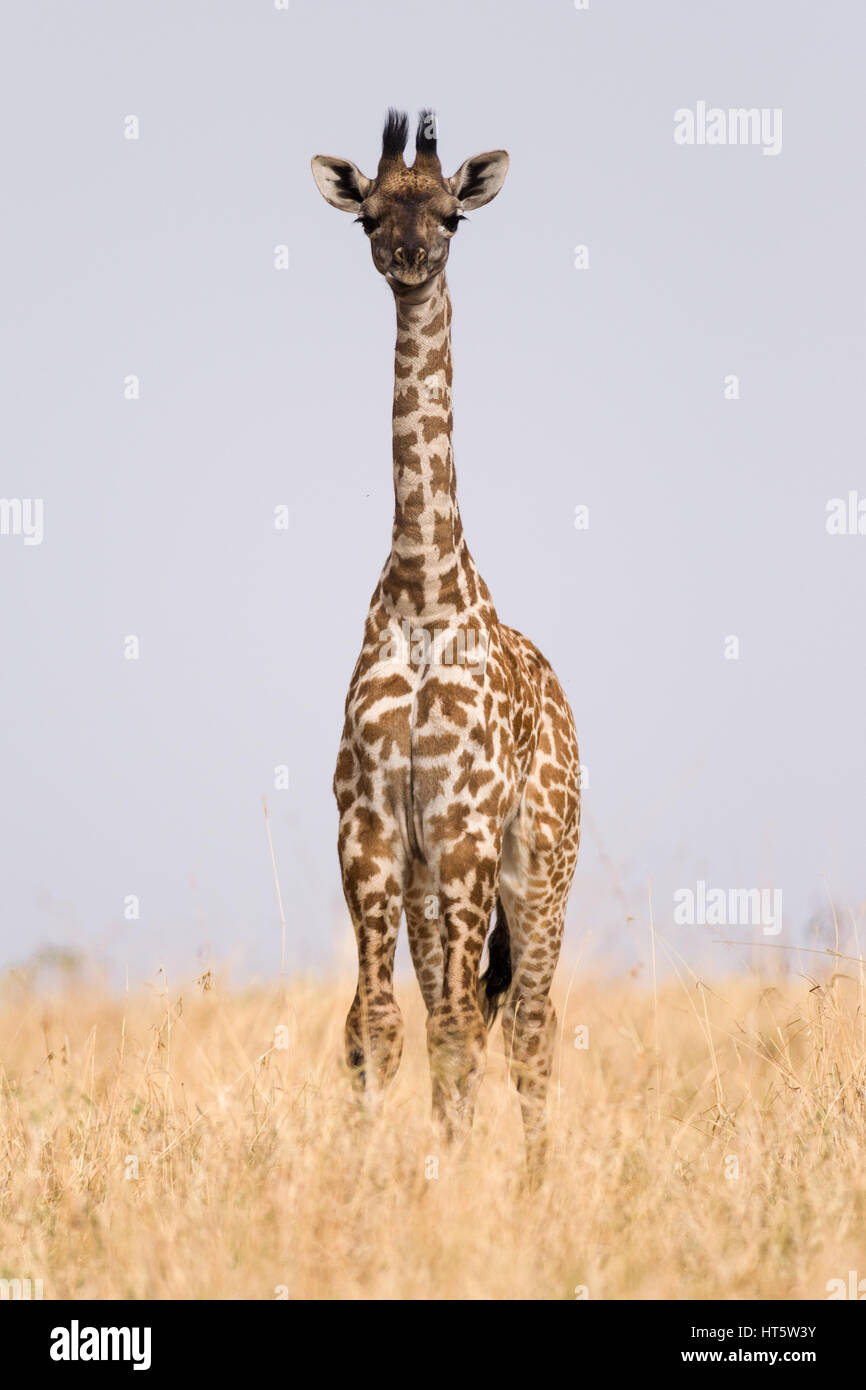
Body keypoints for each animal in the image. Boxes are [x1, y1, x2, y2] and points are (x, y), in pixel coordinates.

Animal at [311, 111, 580, 1170]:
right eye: (369, 215)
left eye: (454, 215)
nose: (408, 260)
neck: (425, 595)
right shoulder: (373, 829)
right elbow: (374, 1028)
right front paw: (374, 1177)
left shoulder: (466, 827)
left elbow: (465, 1029)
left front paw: (448, 1182)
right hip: (435, 883)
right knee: (450, 1013)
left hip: (540, 864)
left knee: (532, 1023)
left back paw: (535, 1185)